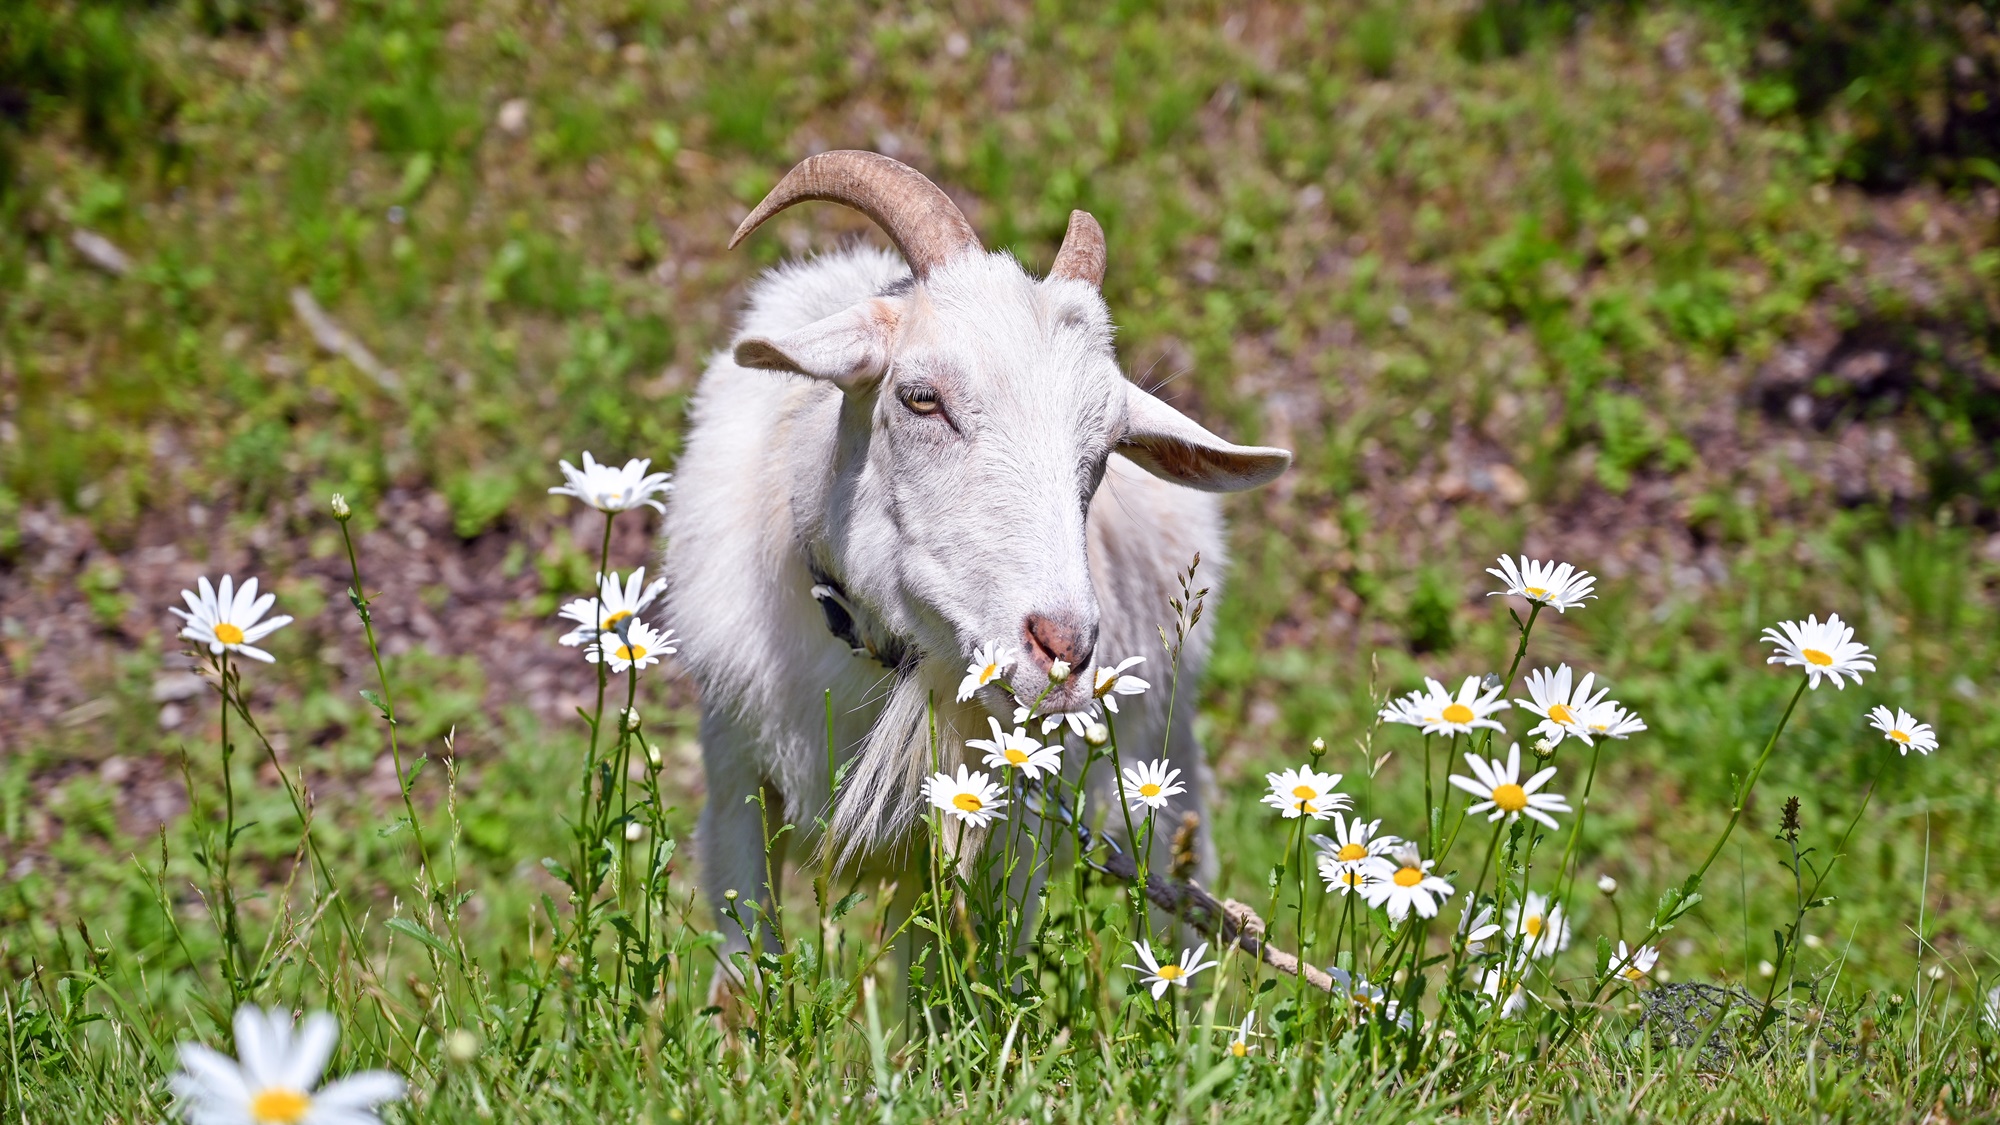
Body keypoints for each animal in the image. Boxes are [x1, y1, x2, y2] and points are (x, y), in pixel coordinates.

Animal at [664, 149, 1288, 960]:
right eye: (920, 397)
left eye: (1106, 450)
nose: (1062, 651)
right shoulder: (736, 781)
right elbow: (748, 967)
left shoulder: (1005, 831)